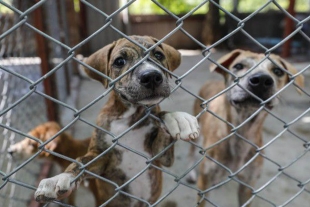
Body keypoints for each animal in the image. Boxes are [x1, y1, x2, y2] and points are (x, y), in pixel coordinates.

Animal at [34, 36, 199, 207]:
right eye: (119, 61)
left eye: (159, 55)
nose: (151, 76)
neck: (132, 117)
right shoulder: (100, 155)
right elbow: (81, 163)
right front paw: (58, 178)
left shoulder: (161, 156)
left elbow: (162, 119)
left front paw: (177, 118)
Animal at [190, 49, 304, 206]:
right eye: (238, 66)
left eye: (277, 71)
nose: (261, 80)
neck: (242, 132)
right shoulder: (204, 183)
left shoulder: (248, 186)